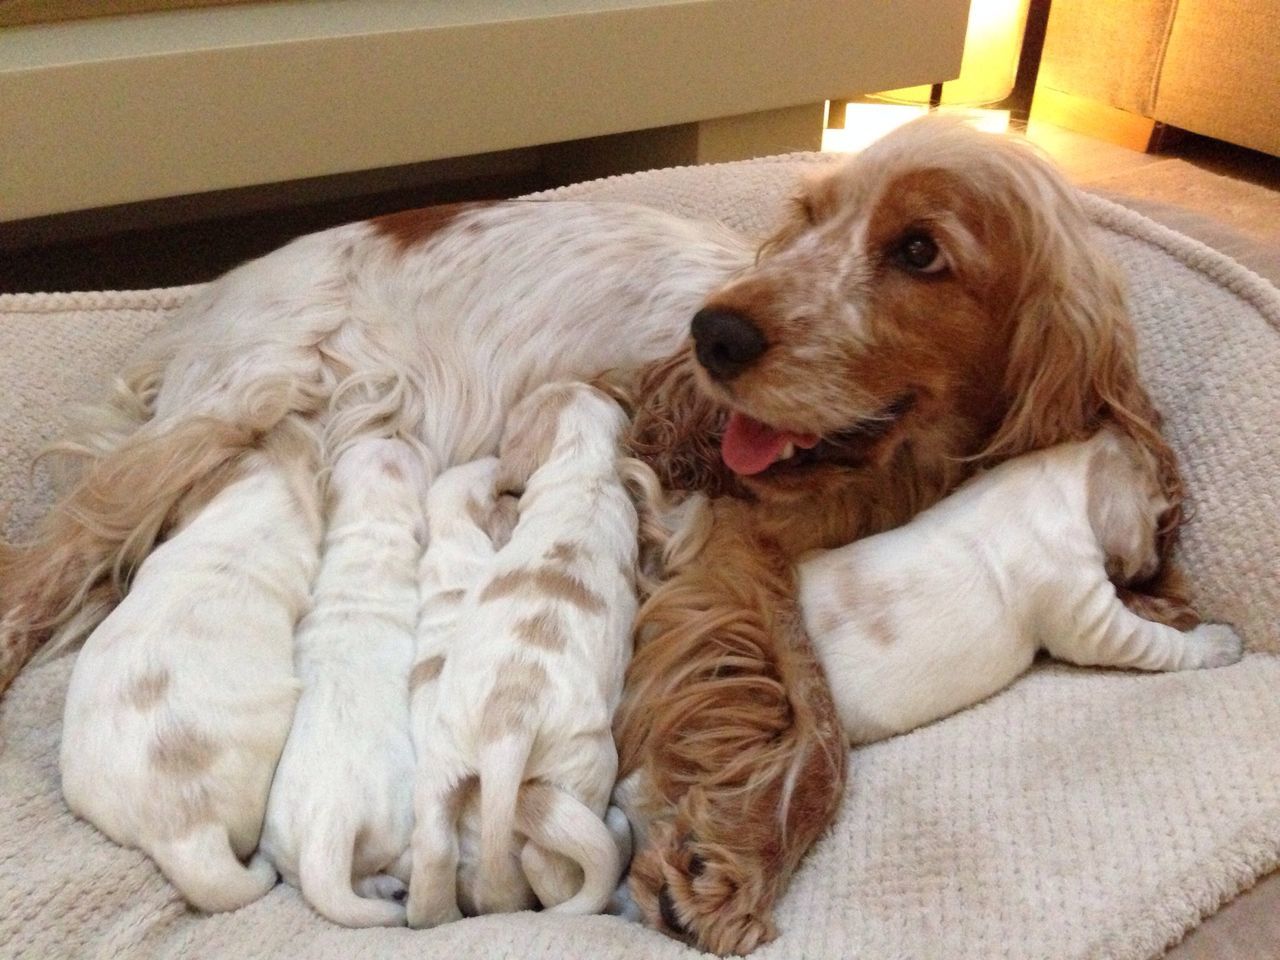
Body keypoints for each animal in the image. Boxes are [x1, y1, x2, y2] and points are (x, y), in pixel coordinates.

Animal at [407, 386, 637, 931]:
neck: (584, 466)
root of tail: (507, 724)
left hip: (442, 761)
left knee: (434, 844)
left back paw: (432, 913)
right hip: (586, 770)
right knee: (552, 860)